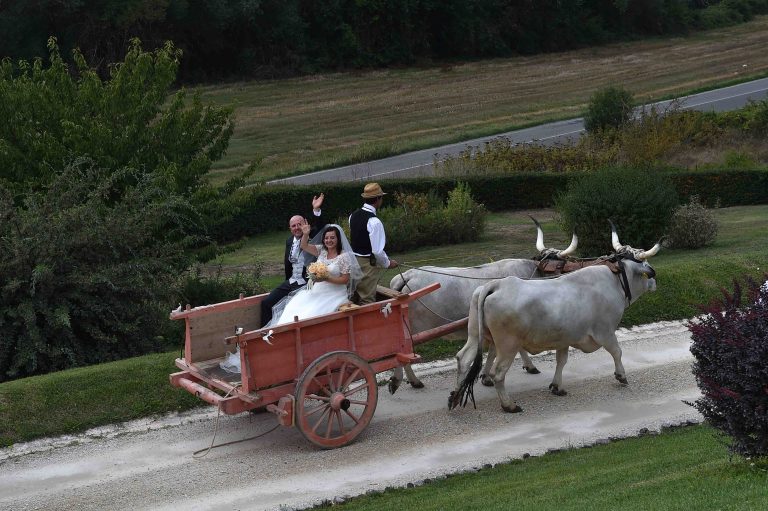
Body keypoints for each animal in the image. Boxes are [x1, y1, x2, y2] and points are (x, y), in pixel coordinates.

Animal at [388, 218, 578, 393]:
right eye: (558, 267)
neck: (531, 275)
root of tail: (408, 275)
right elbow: (501, 351)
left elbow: (499, 351)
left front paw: (489, 375)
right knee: (402, 356)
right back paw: (408, 380)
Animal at [449, 223, 660, 413]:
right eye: (646, 268)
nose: (654, 282)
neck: (615, 281)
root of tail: (495, 285)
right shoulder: (605, 332)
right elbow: (617, 352)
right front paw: (621, 375)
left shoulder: (564, 338)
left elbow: (561, 361)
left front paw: (557, 386)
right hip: (508, 345)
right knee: (497, 373)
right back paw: (509, 405)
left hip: (476, 335)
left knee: (463, 358)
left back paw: (455, 396)